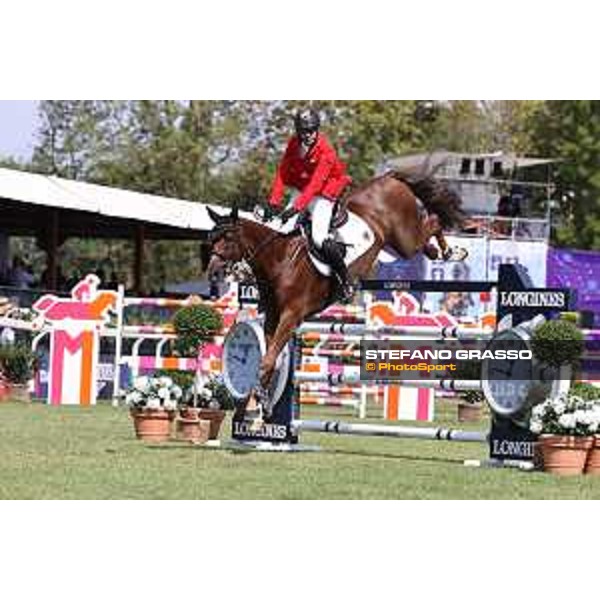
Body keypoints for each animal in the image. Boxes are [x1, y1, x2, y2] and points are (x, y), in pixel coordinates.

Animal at [205, 171, 464, 420]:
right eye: (212, 237)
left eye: (228, 238)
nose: (213, 272)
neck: (280, 261)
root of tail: (389, 178)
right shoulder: (272, 316)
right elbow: (270, 358)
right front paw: (263, 403)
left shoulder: (291, 316)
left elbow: (268, 359)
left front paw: (259, 399)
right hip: (402, 241)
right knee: (426, 239)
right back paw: (437, 251)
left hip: (404, 237)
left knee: (433, 221)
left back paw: (454, 251)